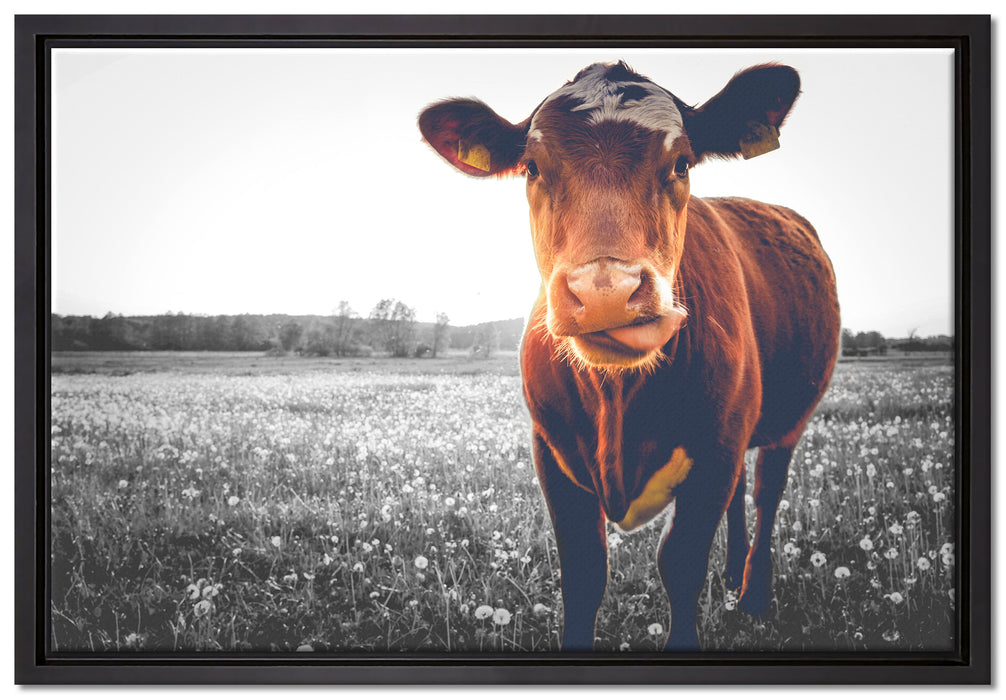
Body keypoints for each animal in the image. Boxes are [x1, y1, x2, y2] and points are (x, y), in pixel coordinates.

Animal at [418, 61, 840, 651]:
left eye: (681, 162)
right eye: (532, 167)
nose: (605, 292)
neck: (617, 399)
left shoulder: (715, 451)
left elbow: (680, 564)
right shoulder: (552, 452)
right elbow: (583, 572)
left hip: (786, 421)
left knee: (765, 492)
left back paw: (753, 594)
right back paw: (733, 575)